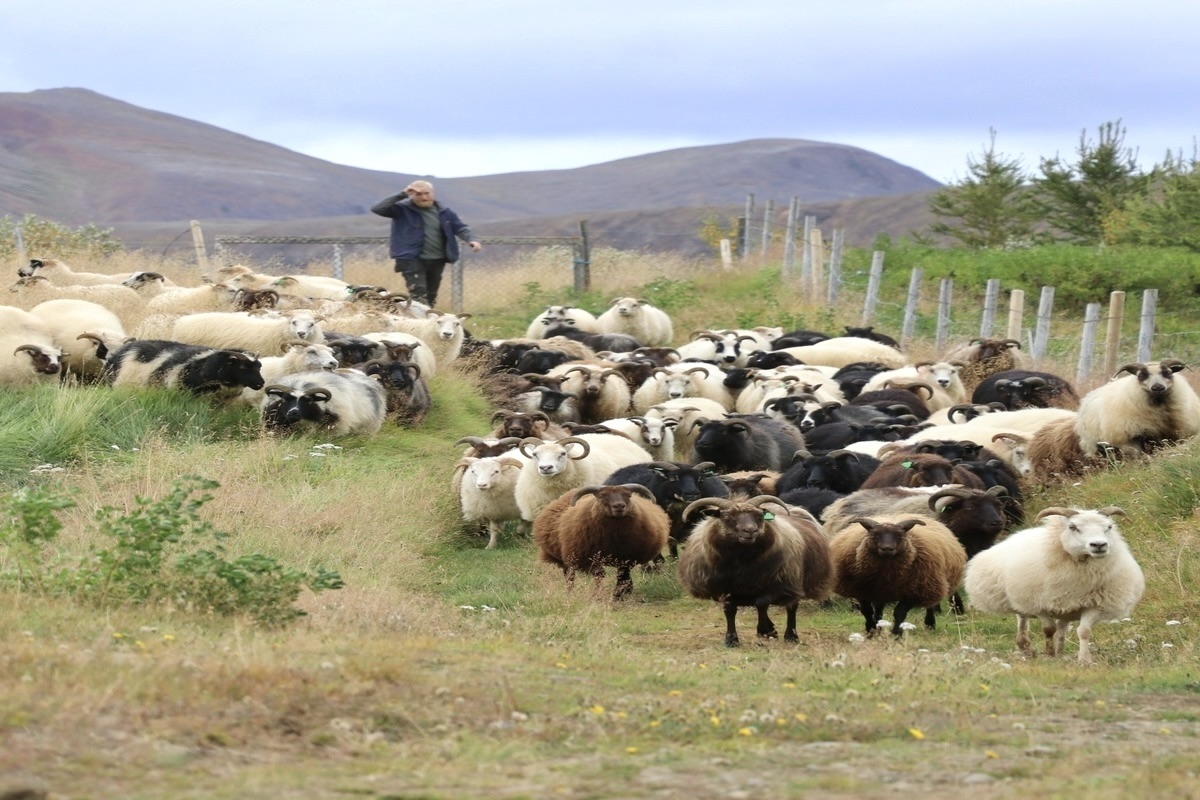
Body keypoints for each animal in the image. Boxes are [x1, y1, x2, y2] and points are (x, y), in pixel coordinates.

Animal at [533, 483, 669, 599]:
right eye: (602, 496)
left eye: (628, 495)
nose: (619, 506)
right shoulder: (592, 558)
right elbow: (600, 575)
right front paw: (599, 595)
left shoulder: (625, 558)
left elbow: (623, 575)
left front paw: (621, 593)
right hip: (569, 557)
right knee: (570, 576)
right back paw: (570, 594)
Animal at [678, 495, 835, 646]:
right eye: (726, 517)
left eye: (759, 516)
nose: (750, 530)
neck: (742, 561)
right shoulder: (726, 587)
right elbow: (729, 609)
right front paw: (731, 639)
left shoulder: (775, 584)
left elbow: (761, 603)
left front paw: (765, 631)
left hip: (792, 581)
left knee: (791, 607)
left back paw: (791, 636)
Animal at [828, 514, 967, 637]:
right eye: (875, 535)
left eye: (900, 536)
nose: (887, 548)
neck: (887, 573)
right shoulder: (861, 590)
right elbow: (868, 612)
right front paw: (871, 631)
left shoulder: (913, 593)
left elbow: (899, 612)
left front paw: (896, 634)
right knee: (878, 610)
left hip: (931, 583)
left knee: (930, 605)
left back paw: (930, 624)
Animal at [963, 506, 1144, 664]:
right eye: (1073, 527)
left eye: (1109, 527)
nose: (1099, 545)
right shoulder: (1038, 604)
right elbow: (1048, 629)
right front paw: (1049, 654)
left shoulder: (1094, 604)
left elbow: (1084, 632)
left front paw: (1084, 660)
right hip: (1021, 596)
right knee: (1023, 618)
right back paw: (1025, 647)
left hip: (1065, 608)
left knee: (1061, 630)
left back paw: (1060, 652)